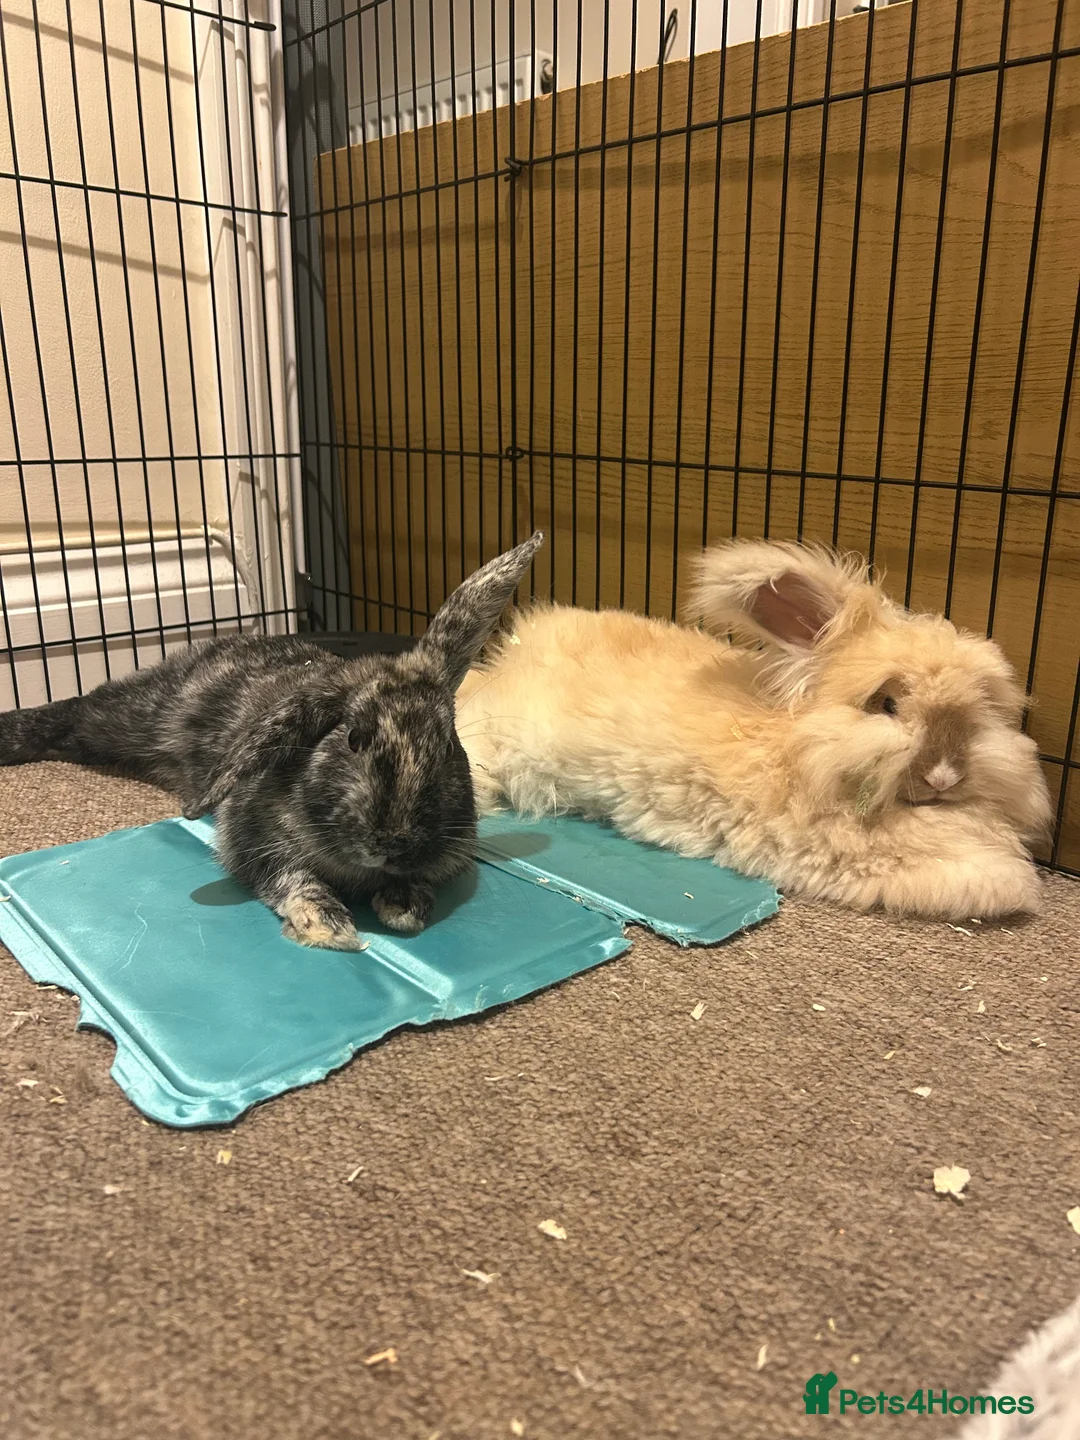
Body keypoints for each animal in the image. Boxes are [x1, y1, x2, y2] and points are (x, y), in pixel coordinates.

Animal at [0, 533, 544, 950]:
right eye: (353, 738)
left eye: (448, 747)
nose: (393, 843)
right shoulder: (251, 841)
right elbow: (287, 877)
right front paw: (328, 924)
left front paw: (403, 905)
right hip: (130, 719)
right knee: (76, 713)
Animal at [456, 539, 1052, 922]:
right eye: (885, 704)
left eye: (982, 710)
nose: (945, 777)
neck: (796, 745)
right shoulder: (839, 853)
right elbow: (972, 872)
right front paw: (1015, 888)